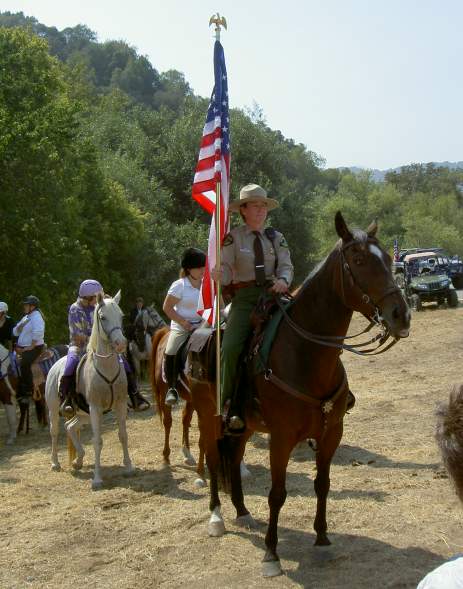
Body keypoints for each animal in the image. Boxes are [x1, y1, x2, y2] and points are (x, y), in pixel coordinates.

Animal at [45, 292, 135, 490]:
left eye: (121, 316)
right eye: (102, 317)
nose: (121, 344)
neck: (105, 367)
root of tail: (55, 364)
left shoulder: (120, 405)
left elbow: (123, 435)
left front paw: (129, 467)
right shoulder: (95, 408)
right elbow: (97, 441)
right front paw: (97, 479)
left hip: (83, 414)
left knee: (70, 426)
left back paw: (78, 461)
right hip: (55, 410)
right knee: (54, 431)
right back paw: (55, 463)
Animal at [150, 326, 207, 482]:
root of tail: (166, 331)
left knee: (185, 418)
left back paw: (187, 454)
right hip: (165, 393)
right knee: (168, 422)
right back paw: (166, 456)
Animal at [187, 210, 412, 576]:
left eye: (390, 259)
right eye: (359, 260)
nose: (401, 315)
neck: (305, 354)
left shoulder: (331, 432)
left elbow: (323, 484)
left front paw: (321, 540)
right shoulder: (280, 438)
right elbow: (277, 493)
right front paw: (271, 554)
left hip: (243, 425)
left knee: (232, 459)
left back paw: (242, 511)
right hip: (209, 417)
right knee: (211, 457)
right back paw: (217, 516)